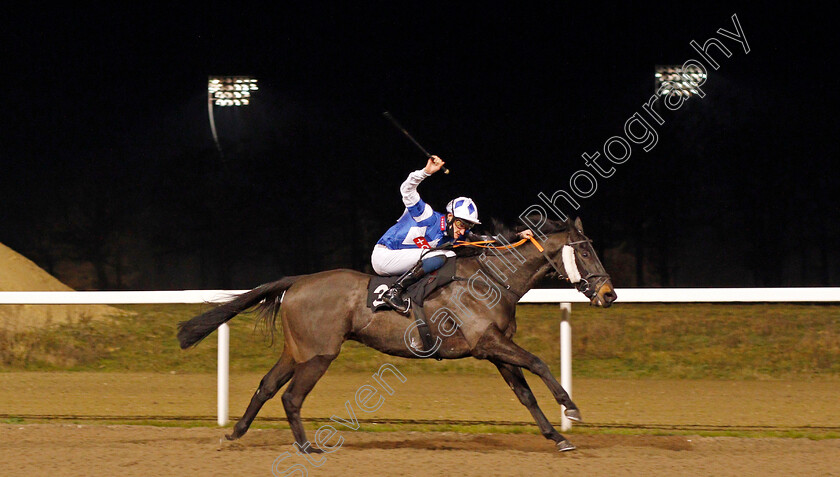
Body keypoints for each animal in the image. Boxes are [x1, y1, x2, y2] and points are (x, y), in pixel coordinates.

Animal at [177, 218, 616, 452]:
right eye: (586, 250)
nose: (609, 294)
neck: (494, 281)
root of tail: (296, 282)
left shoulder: (494, 350)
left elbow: (525, 394)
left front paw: (557, 436)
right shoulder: (488, 343)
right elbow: (540, 363)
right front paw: (571, 408)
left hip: (297, 350)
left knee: (267, 387)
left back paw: (235, 433)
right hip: (320, 354)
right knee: (291, 397)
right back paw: (305, 446)